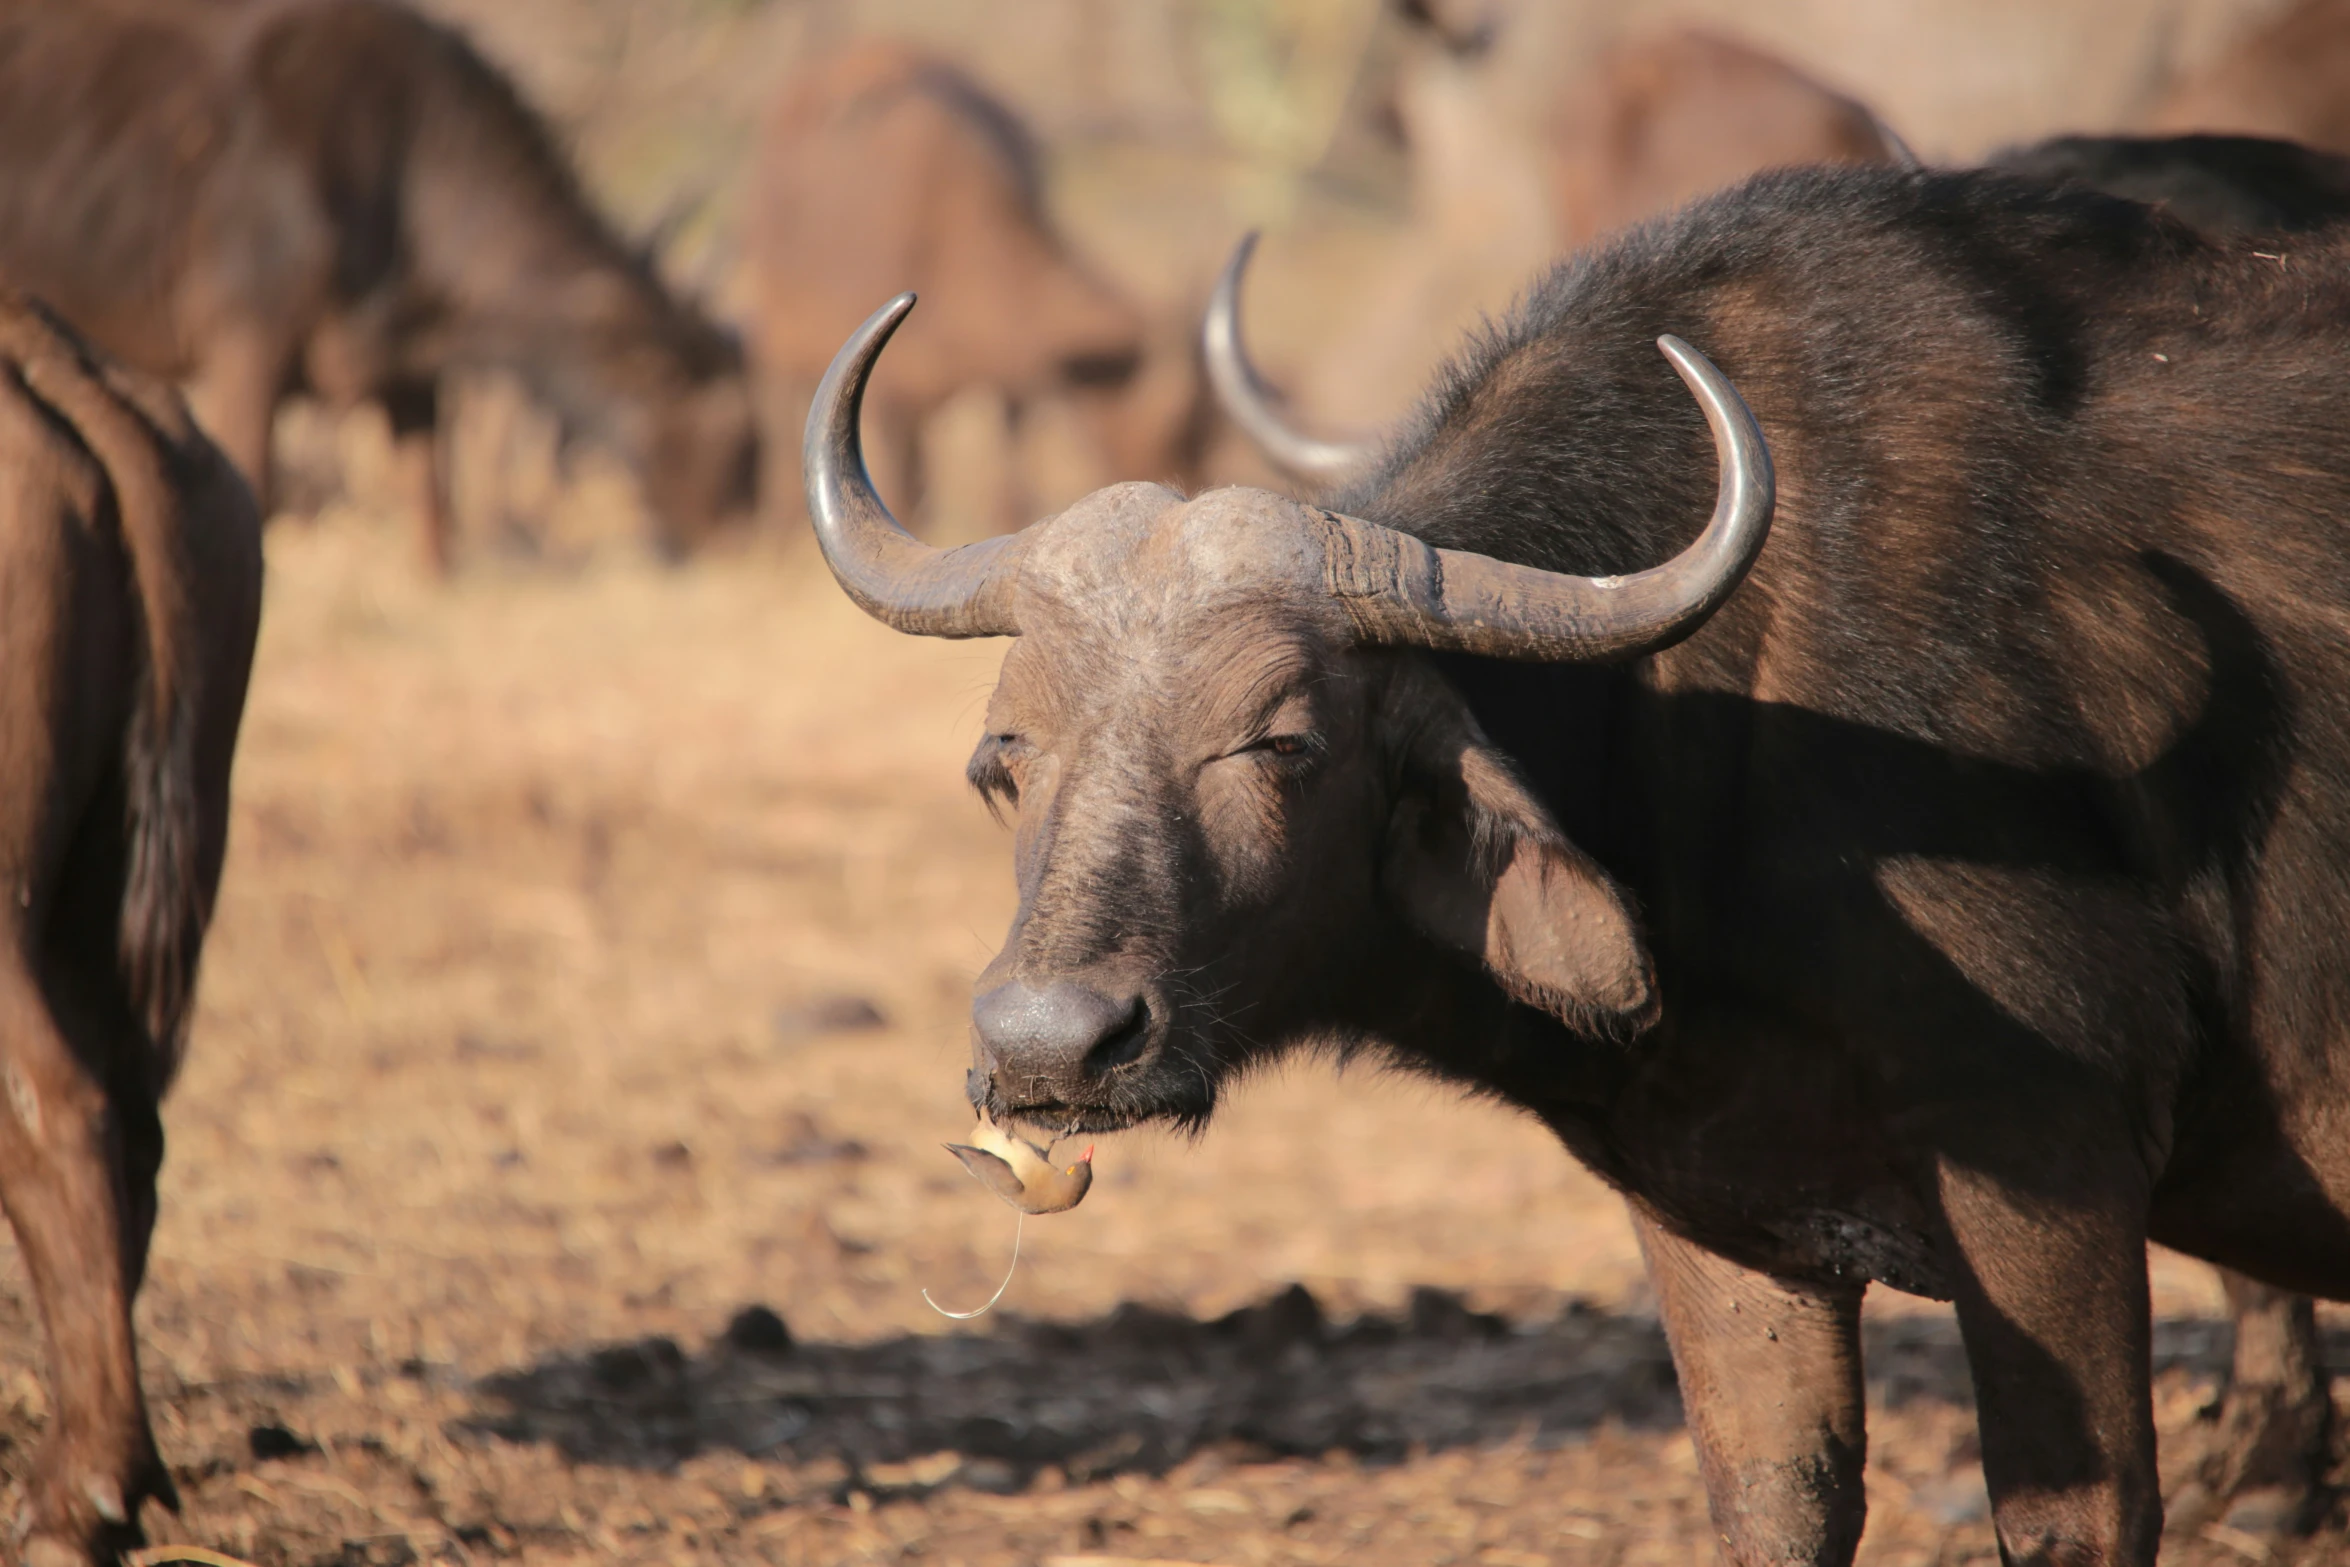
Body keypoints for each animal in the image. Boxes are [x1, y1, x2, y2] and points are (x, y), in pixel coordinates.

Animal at [803, 162, 2350, 1567]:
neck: (1701, 727)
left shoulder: (2049, 1164)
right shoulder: (1721, 1214)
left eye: (1281, 740)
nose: (1049, 1045)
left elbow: (2071, 1518)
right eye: (1001, 756)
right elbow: (1773, 1507)